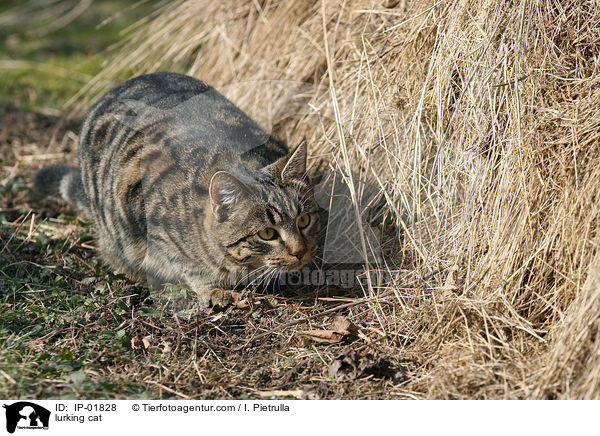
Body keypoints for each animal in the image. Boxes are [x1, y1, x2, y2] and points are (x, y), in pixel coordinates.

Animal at [34, 71, 322, 308]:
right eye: (267, 233)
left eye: (304, 220)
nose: (300, 251)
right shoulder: (150, 223)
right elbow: (187, 264)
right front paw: (212, 289)